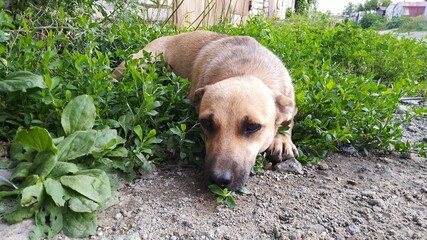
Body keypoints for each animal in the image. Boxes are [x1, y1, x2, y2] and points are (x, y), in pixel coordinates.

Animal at [113, 30, 300, 191]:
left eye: (253, 126)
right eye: (207, 123)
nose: (219, 179)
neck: (245, 70)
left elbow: (289, 119)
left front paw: (282, 139)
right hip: (139, 64)